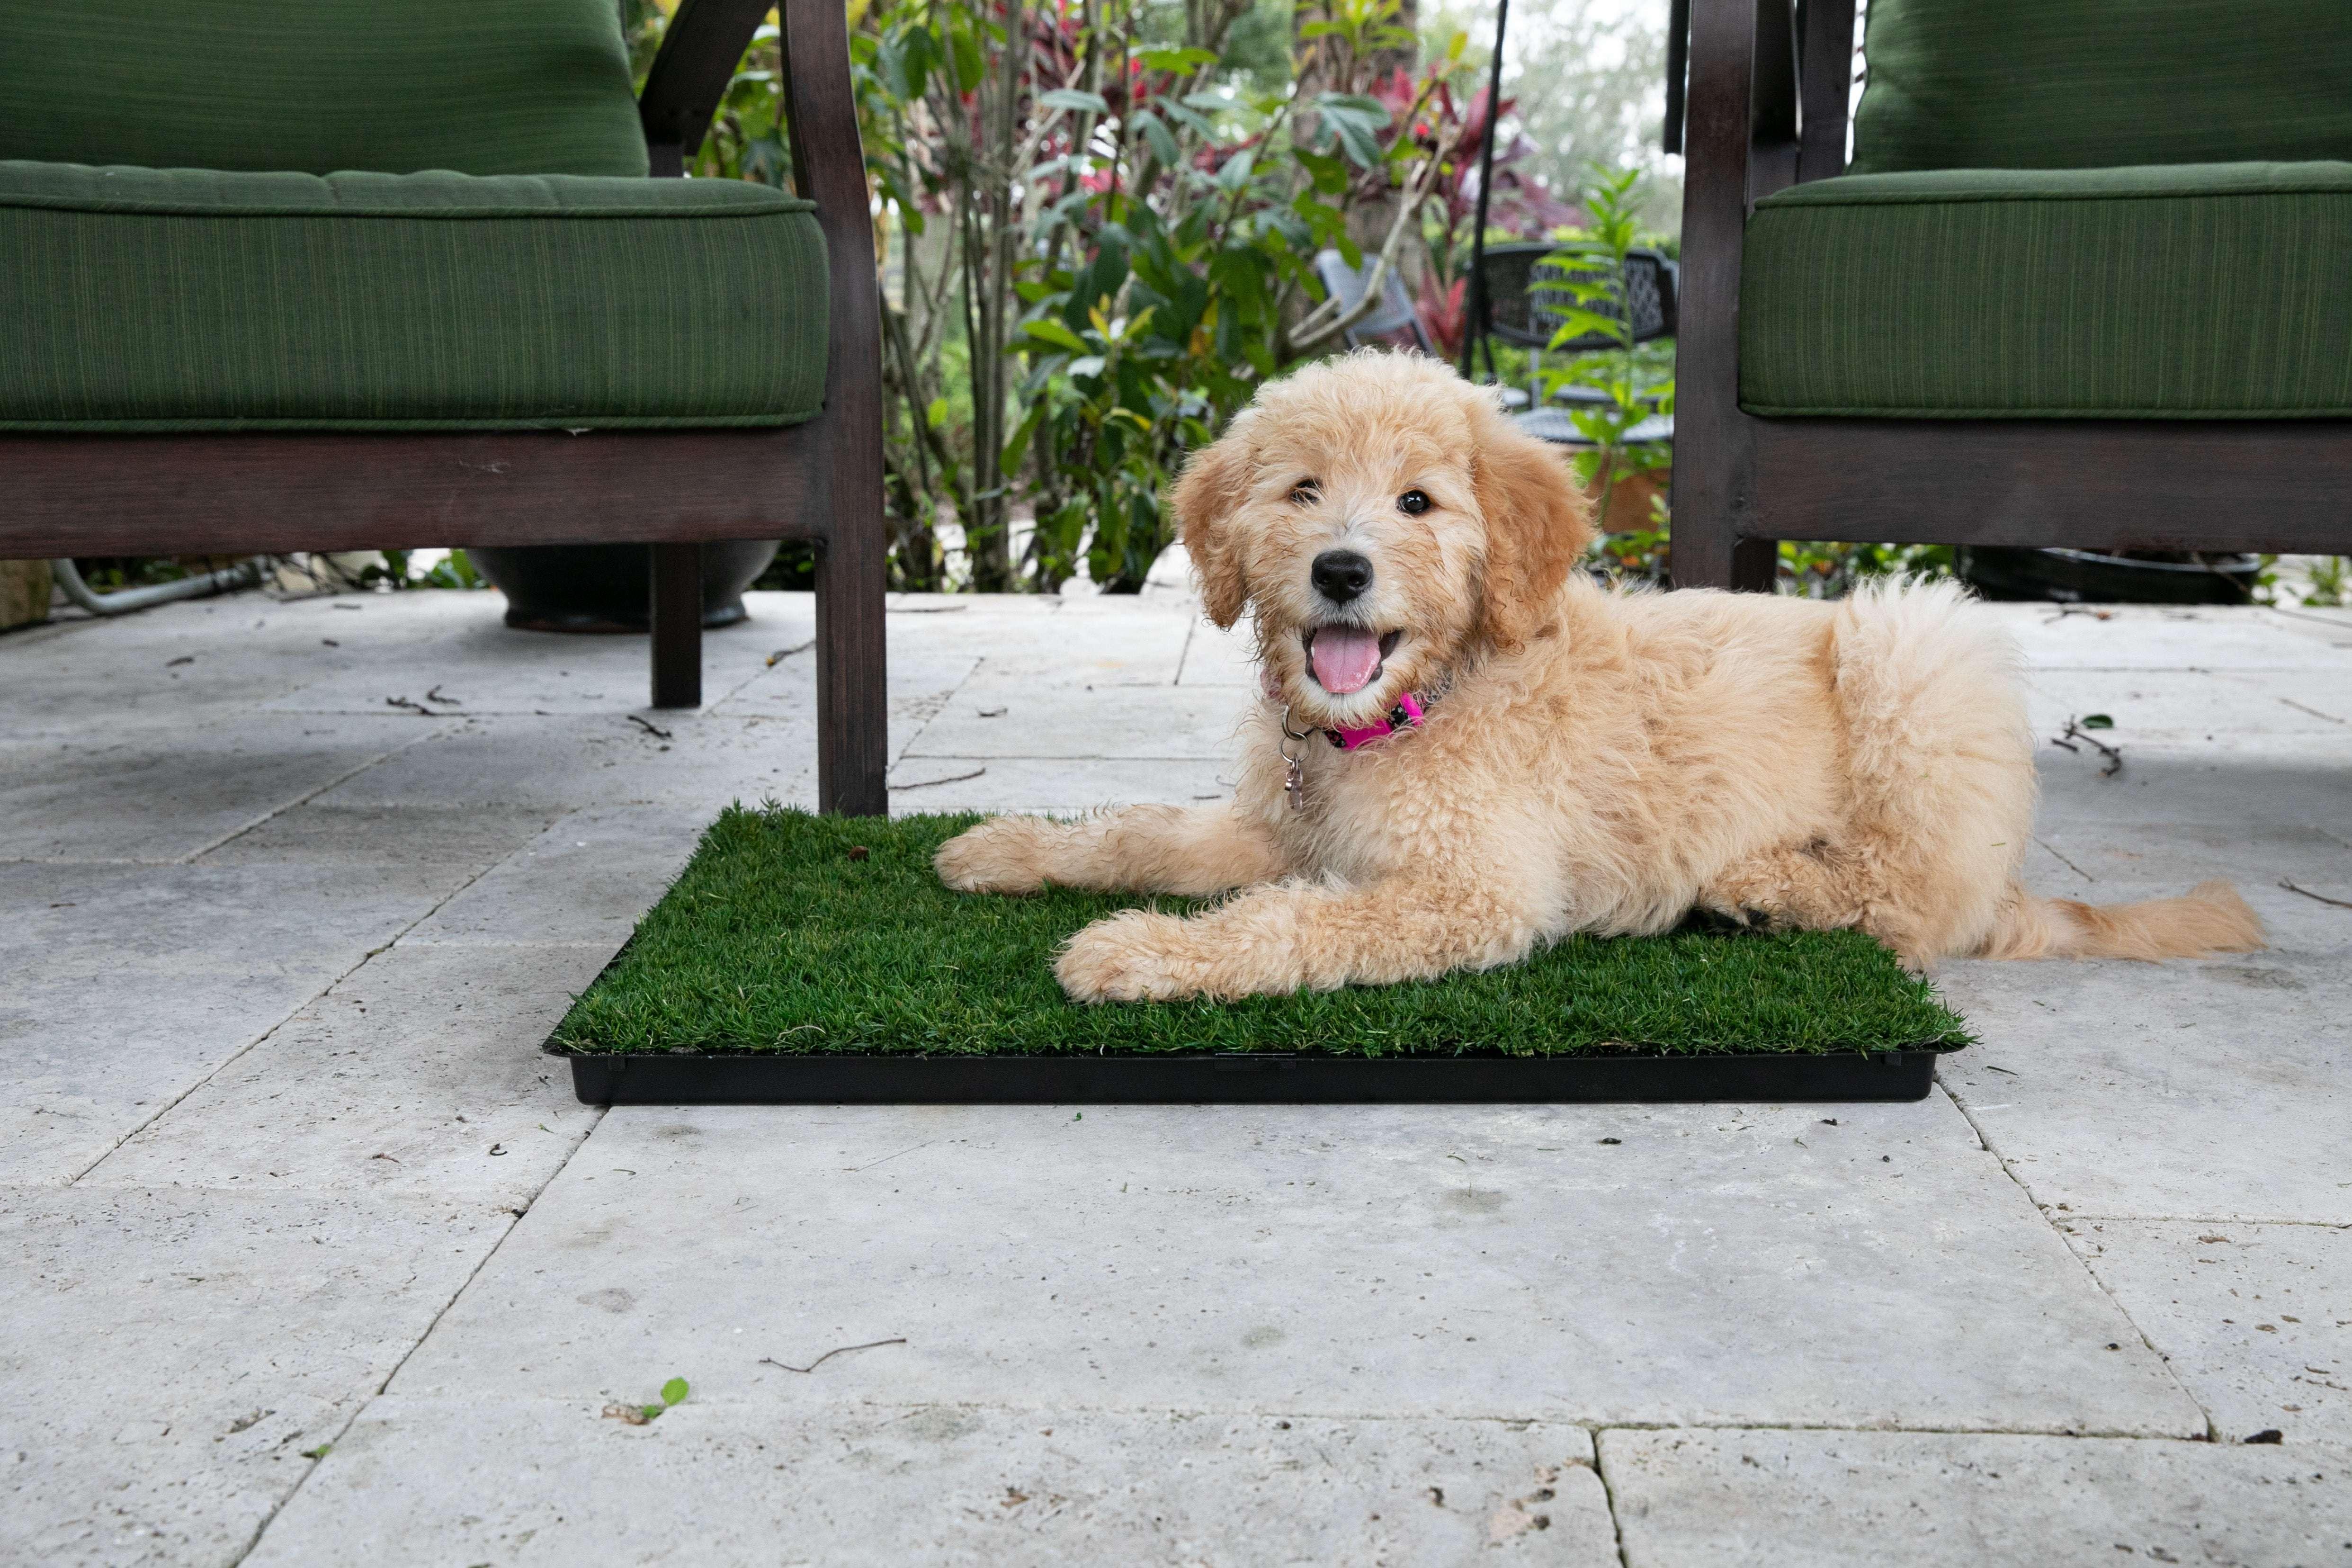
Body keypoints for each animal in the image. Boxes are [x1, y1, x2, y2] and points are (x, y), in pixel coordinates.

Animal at [931, 350, 2258, 1001]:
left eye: (1417, 503)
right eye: (1301, 489)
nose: (1340, 570)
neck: (1406, 711)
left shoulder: (1471, 890)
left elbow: (1287, 923)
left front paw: (1138, 953)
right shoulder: (1285, 829)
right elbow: (1147, 830)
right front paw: (1007, 849)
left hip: (1915, 642)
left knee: (1917, 901)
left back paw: (1771, 884)